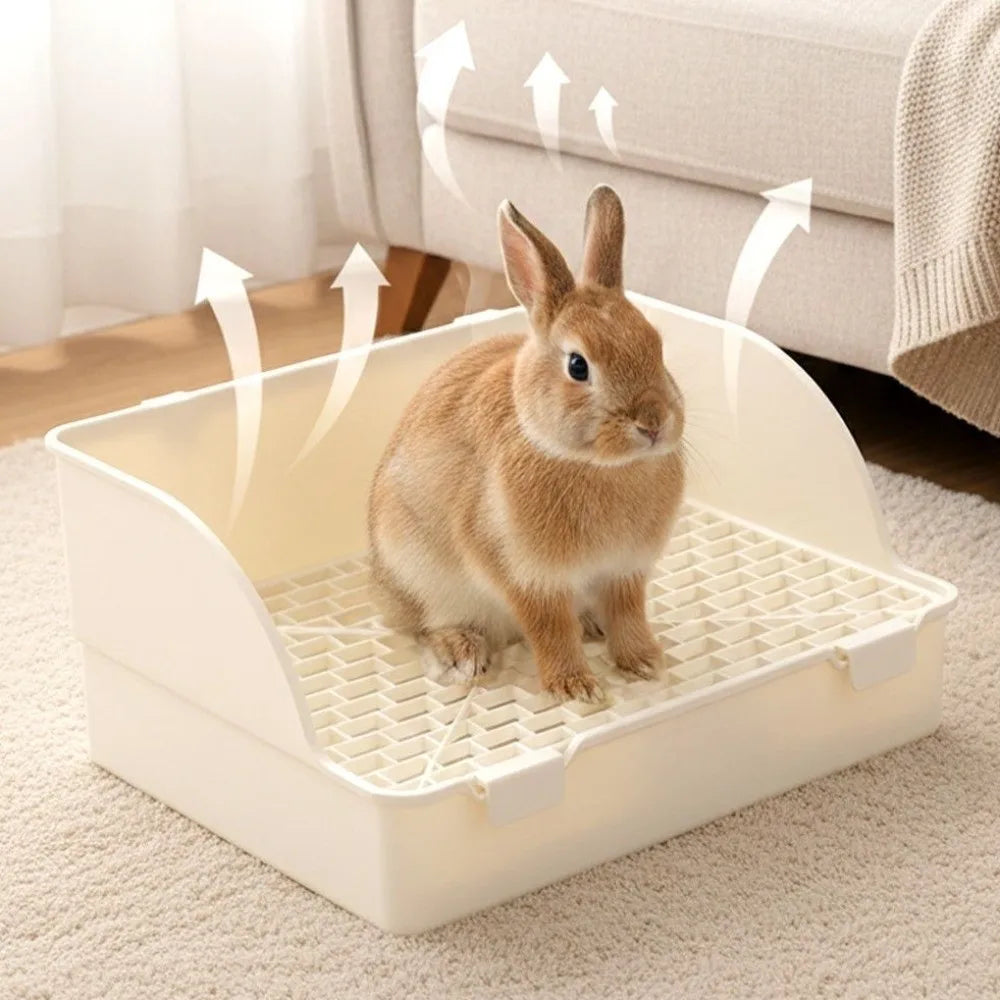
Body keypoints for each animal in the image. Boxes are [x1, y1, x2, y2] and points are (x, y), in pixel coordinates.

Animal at [367, 185, 685, 702]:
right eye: (578, 366)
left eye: (656, 345)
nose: (653, 423)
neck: (594, 464)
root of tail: (380, 588)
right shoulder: (526, 576)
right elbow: (549, 628)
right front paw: (575, 688)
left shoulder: (624, 571)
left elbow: (629, 614)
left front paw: (645, 662)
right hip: (422, 575)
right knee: (430, 624)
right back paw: (463, 651)